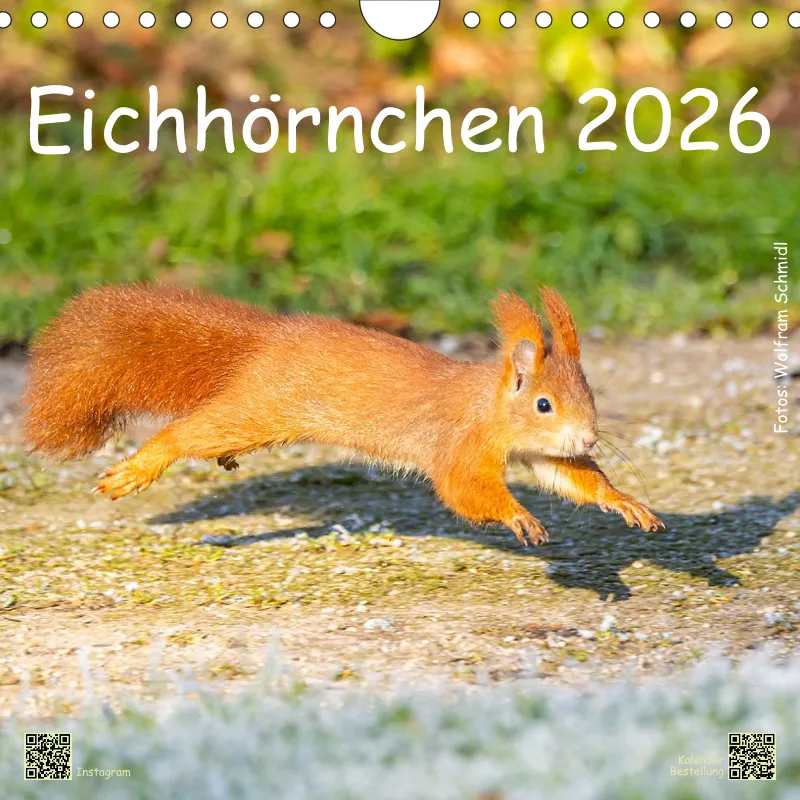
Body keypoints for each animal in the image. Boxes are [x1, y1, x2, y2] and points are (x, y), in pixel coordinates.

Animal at [22, 283, 663, 545]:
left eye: (590, 392)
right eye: (543, 403)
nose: (588, 437)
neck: (489, 404)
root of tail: (268, 340)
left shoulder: (538, 452)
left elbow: (568, 478)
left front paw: (624, 501)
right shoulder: (459, 441)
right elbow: (463, 488)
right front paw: (518, 517)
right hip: (261, 407)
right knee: (186, 432)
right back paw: (136, 469)